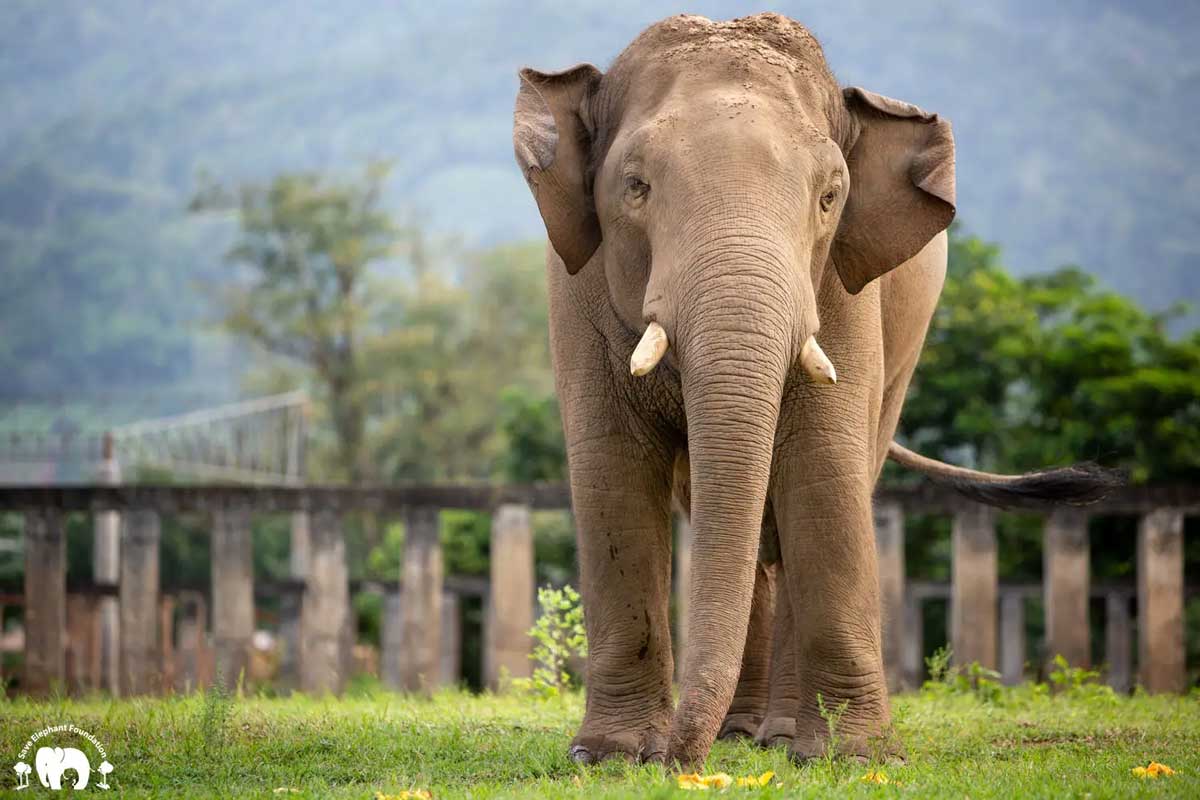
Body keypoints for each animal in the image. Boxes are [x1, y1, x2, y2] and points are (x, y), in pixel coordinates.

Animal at [511, 9, 1118, 767]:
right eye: (635, 187)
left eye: (830, 197)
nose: (681, 761)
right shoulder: (575, 288)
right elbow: (611, 465)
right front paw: (610, 757)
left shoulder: (845, 290)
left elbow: (824, 462)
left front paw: (859, 757)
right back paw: (745, 732)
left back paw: (779, 738)